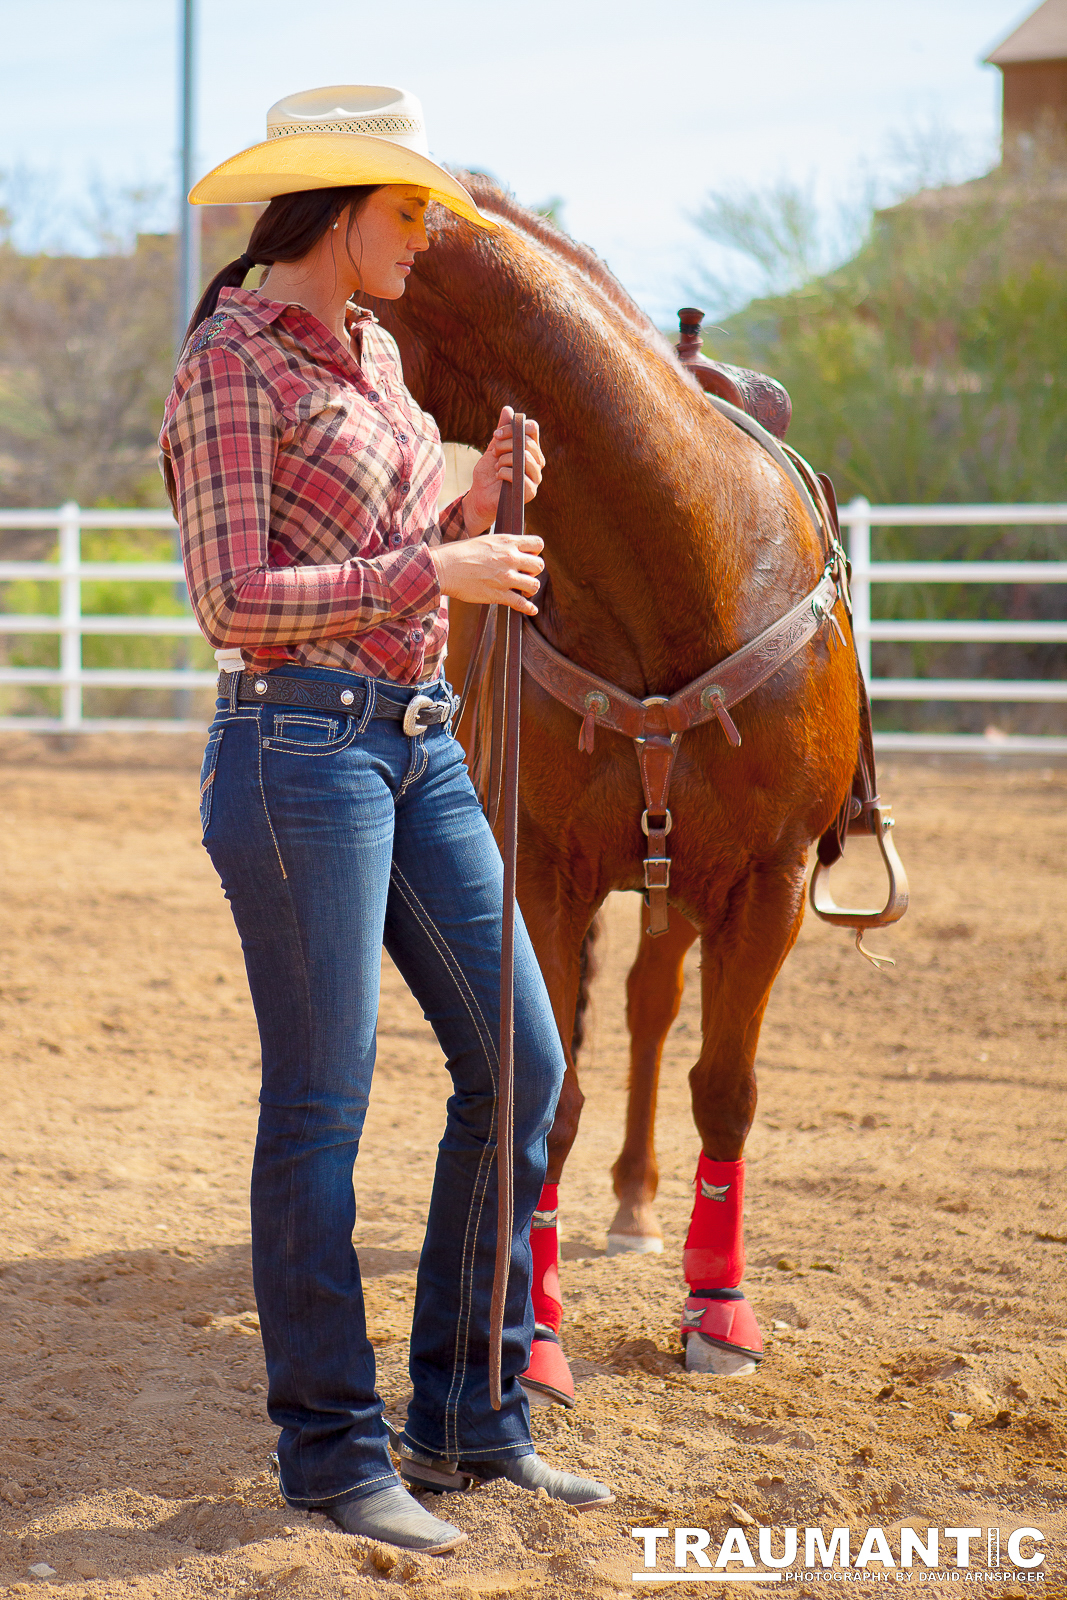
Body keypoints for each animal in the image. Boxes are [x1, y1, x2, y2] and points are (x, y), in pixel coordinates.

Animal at [369, 175, 870, 1401]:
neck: (676, 569)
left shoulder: (768, 882)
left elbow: (725, 1086)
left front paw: (719, 1309)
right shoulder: (540, 871)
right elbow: (547, 1093)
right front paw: (533, 1333)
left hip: (684, 883)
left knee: (650, 1008)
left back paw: (644, 1207)